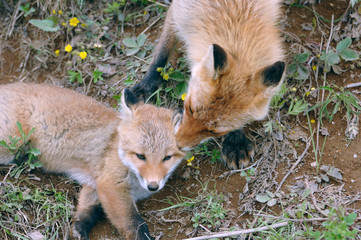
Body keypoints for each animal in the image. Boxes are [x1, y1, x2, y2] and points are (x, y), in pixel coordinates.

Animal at [0, 83, 181, 239]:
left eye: (167, 157)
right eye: (141, 156)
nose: (153, 186)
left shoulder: (96, 182)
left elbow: (89, 210)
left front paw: (78, 229)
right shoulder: (111, 184)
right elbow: (134, 223)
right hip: (11, 145)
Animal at [131, 0, 286, 169]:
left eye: (215, 132)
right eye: (190, 108)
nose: (177, 145)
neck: (231, 12)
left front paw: (235, 142)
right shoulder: (178, 11)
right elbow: (162, 52)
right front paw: (146, 87)